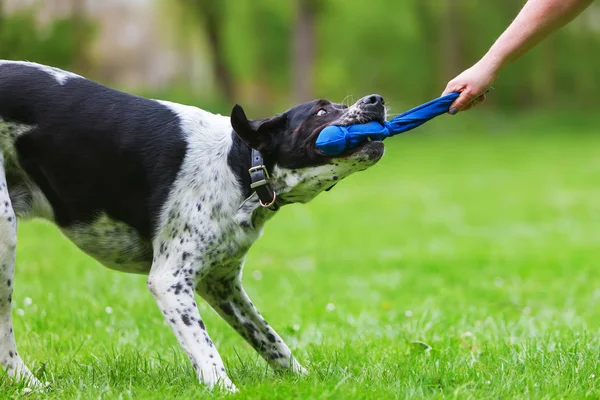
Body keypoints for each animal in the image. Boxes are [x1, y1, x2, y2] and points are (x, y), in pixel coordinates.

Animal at [0, 61, 384, 392]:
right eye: (321, 112)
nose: (376, 100)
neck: (239, 165)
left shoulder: (222, 284)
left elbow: (271, 341)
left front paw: (304, 379)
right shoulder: (170, 281)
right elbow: (205, 348)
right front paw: (225, 389)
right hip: (6, 235)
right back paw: (29, 383)